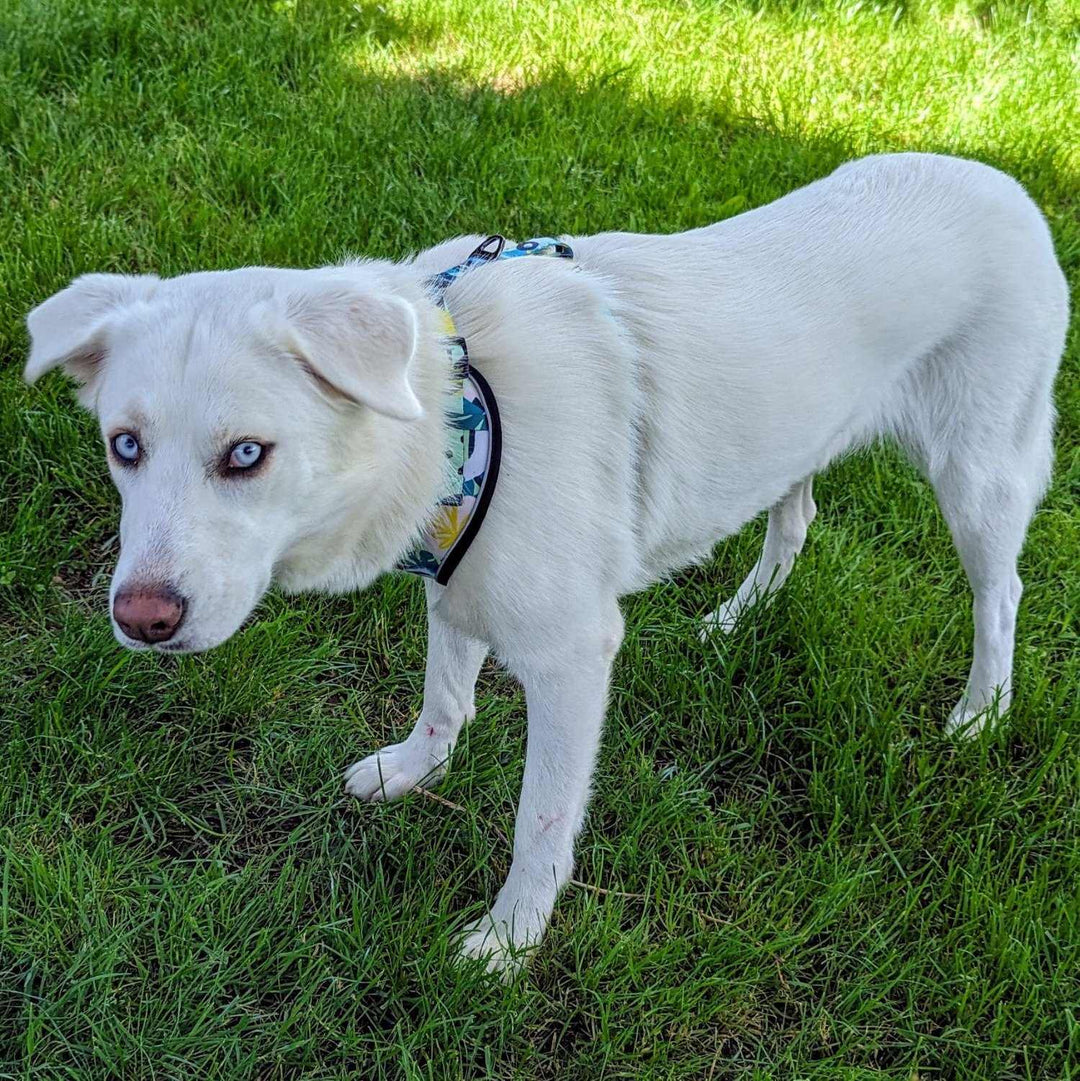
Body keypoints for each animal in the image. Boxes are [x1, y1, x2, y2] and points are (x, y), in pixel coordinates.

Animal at [27, 154, 1072, 972]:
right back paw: (738, 618)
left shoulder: (573, 657)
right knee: (797, 516)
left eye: (247, 454)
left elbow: (541, 819)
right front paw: (413, 770)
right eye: (124, 446)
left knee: (1000, 590)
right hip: (802, 439)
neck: (459, 404)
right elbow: (445, 698)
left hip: (978, 477)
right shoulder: (457, 583)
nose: (140, 620)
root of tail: (1003, 181)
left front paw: (510, 940)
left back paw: (981, 712)